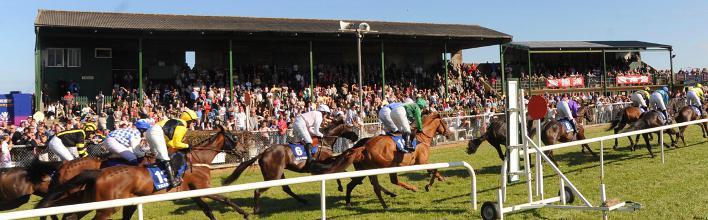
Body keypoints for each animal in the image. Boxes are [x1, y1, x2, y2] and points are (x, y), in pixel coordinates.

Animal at [36, 125, 253, 220]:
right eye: (234, 137)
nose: (244, 151)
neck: (197, 159)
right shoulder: (203, 187)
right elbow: (225, 198)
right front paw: (245, 213)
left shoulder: (193, 191)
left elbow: (208, 210)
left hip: (88, 200)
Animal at [221, 119, 360, 214]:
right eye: (349, 127)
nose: (357, 136)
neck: (324, 141)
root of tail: (263, 152)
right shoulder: (324, 161)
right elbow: (337, 169)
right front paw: (344, 183)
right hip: (272, 175)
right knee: (258, 190)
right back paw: (256, 210)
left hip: (279, 172)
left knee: (286, 188)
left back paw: (303, 201)